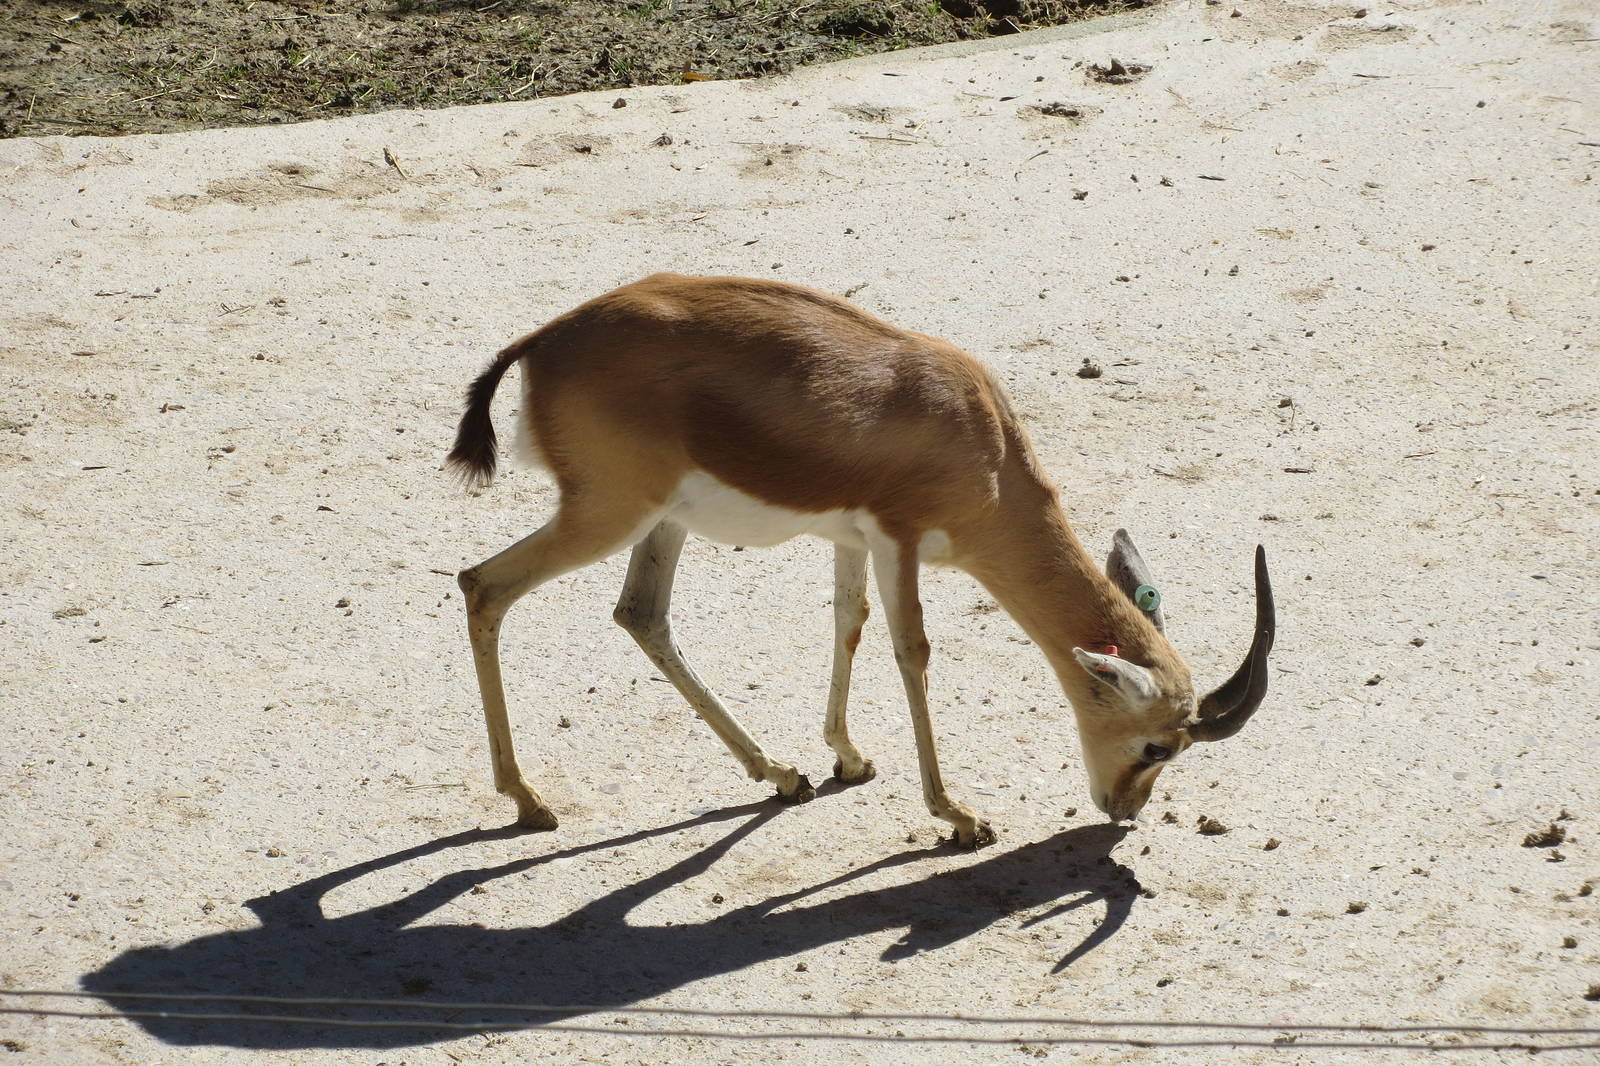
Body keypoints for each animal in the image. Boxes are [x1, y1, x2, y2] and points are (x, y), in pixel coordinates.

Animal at [446, 274, 1274, 848]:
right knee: (482, 585)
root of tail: (544, 341)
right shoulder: (897, 539)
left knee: (640, 615)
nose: (1124, 811)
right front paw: (959, 816)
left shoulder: (851, 540)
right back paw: (529, 801)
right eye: (1157, 745)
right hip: (609, 514)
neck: (984, 445)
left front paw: (848, 758)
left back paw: (781, 776)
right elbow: (913, 652)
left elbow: (850, 622)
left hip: (661, 523)